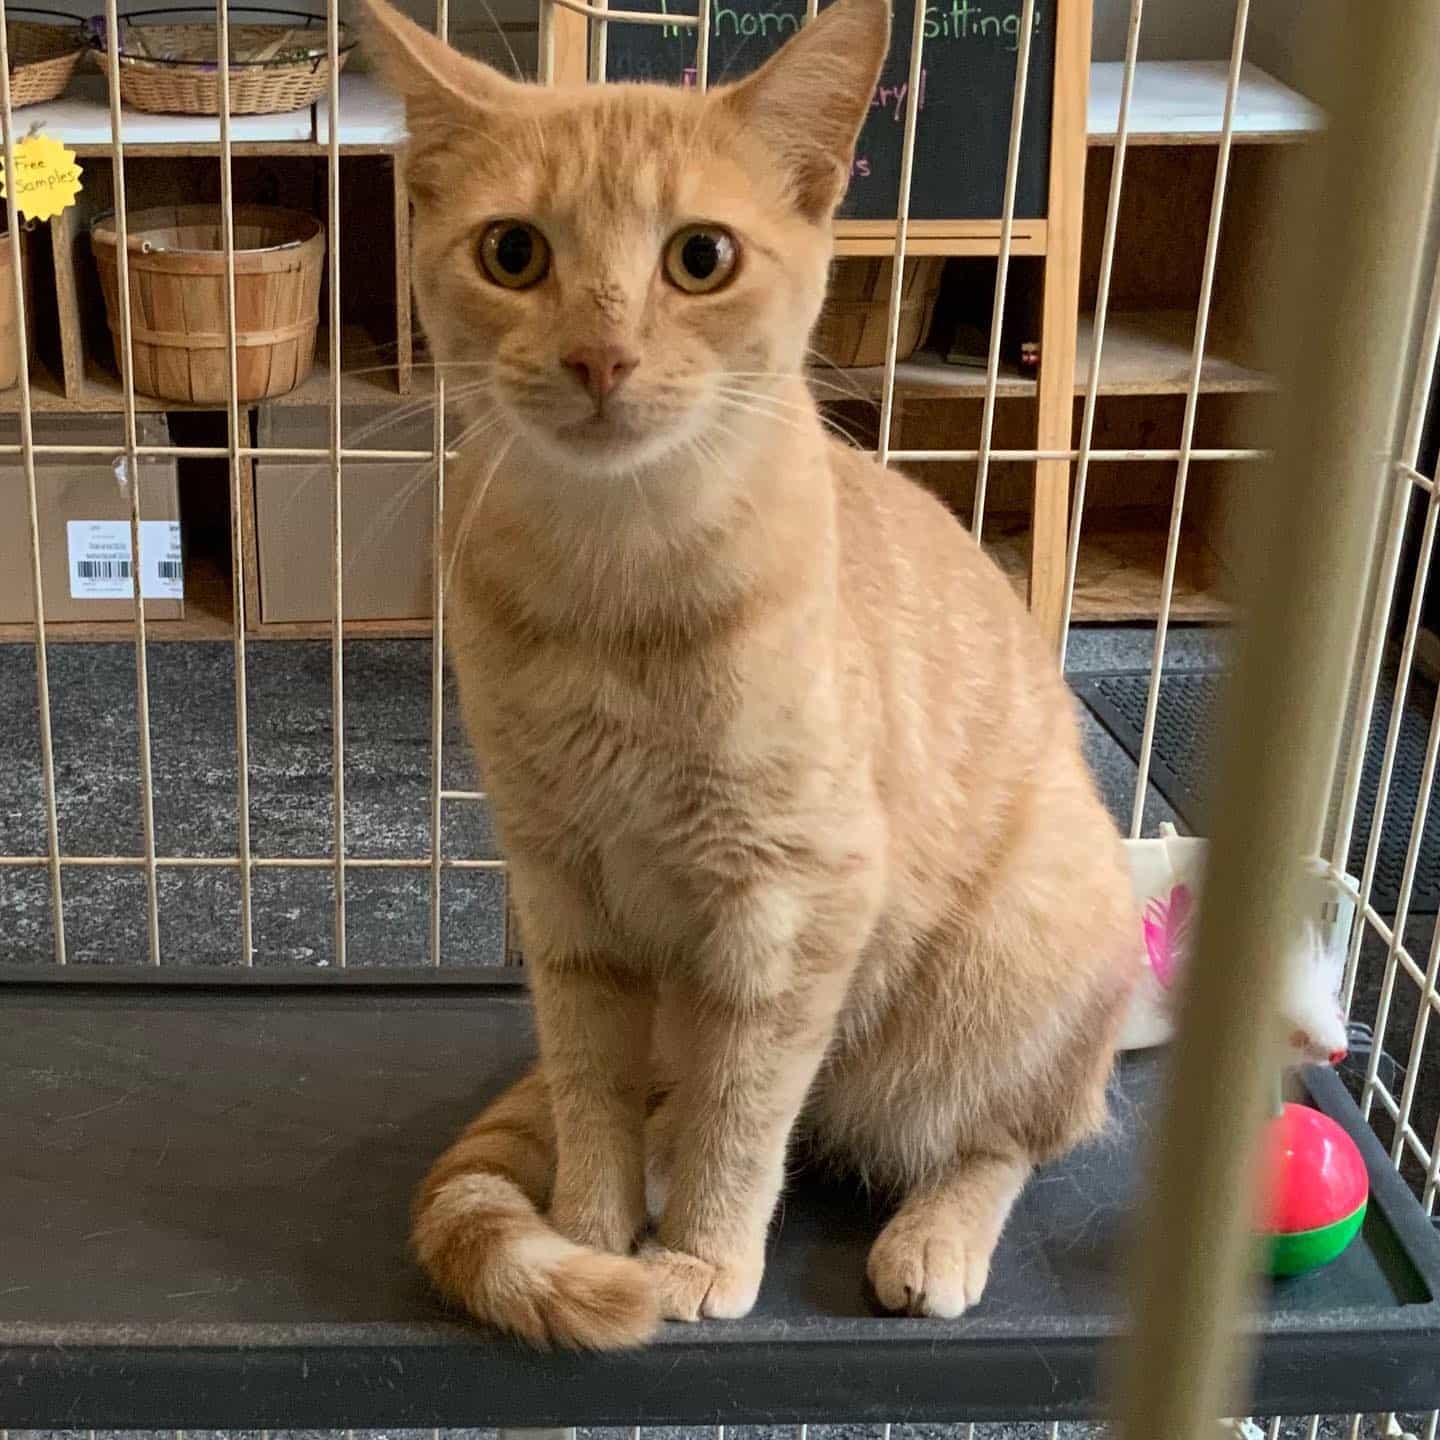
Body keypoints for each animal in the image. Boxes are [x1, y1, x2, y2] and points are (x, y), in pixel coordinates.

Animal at [365, 0, 1140, 1347]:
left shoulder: (793, 904)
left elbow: (750, 1107)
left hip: (1012, 968)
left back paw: (934, 1233)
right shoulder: (562, 892)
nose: (600, 357)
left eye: (701, 258)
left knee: (1007, 1139)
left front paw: (702, 1255)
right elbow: (593, 1086)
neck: (613, 588)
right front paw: (592, 1232)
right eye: (513, 253)